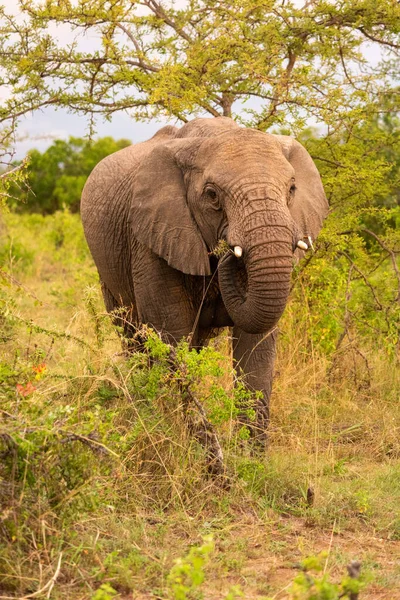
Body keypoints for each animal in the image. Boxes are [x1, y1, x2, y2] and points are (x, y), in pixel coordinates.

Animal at [80, 118, 328, 446]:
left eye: (291, 189)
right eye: (212, 195)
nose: (227, 252)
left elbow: (256, 344)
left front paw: (246, 457)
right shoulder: (150, 237)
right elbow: (171, 336)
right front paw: (197, 447)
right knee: (132, 336)